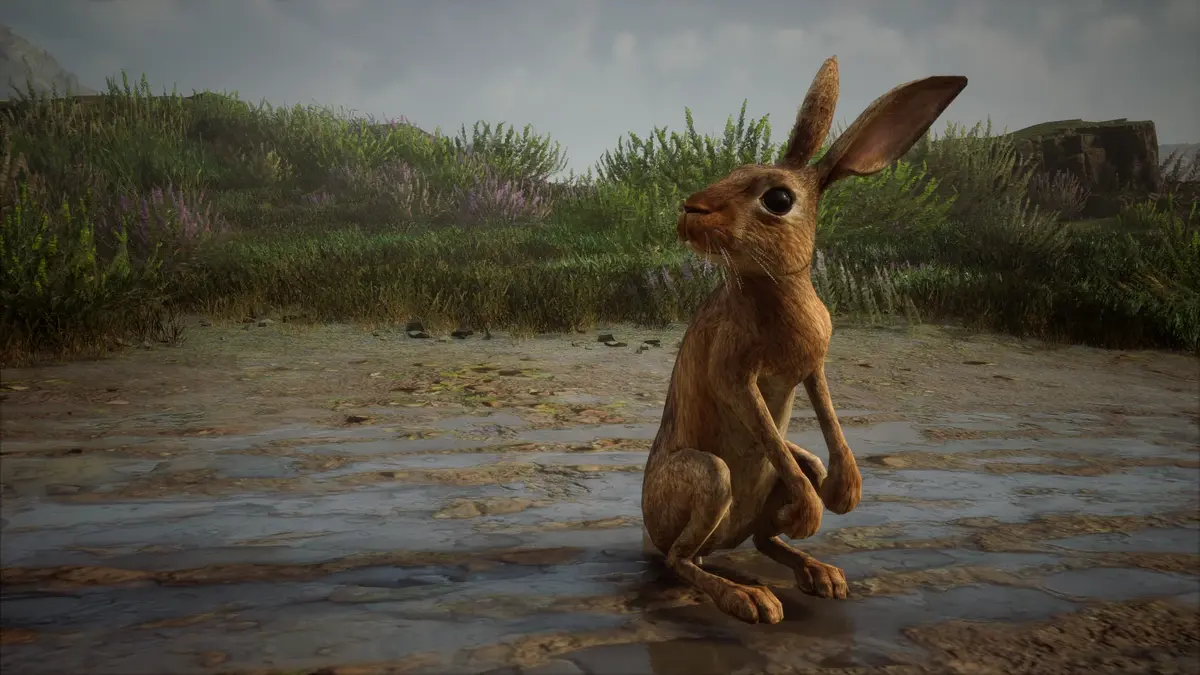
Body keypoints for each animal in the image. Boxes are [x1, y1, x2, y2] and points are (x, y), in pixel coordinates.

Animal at [641, 55, 967, 624]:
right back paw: (749, 598)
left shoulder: (812, 369)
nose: (690, 209)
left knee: (766, 532)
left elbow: (829, 418)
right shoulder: (736, 376)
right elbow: (767, 429)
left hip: (757, 491)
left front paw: (844, 493)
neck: (777, 286)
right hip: (709, 477)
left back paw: (821, 572)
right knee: (679, 559)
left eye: (778, 199)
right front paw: (814, 512)